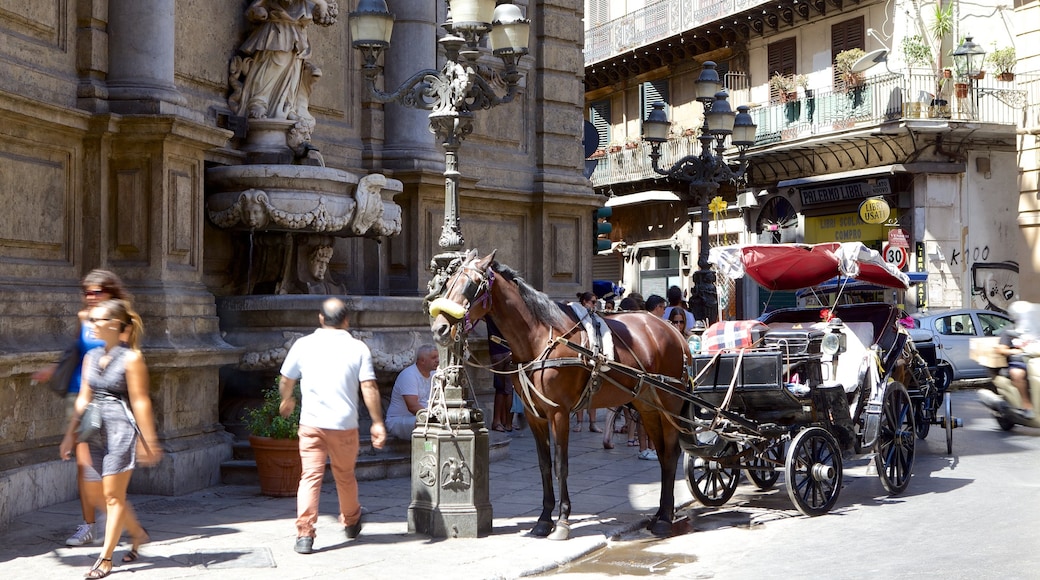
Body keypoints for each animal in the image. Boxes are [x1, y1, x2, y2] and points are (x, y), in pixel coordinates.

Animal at [426, 251, 694, 540]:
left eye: (472, 285)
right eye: (447, 283)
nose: (439, 328)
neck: (539, 338)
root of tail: (673, 331)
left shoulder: (559, 413)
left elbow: (560, 464)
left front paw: (563, 520)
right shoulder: (534, 415)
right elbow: (544, 466)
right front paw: (544, 519)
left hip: (670, 404)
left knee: (671, 453)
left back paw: (665, 519)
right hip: (648, 407)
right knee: (663, 453)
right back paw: (660, 514)